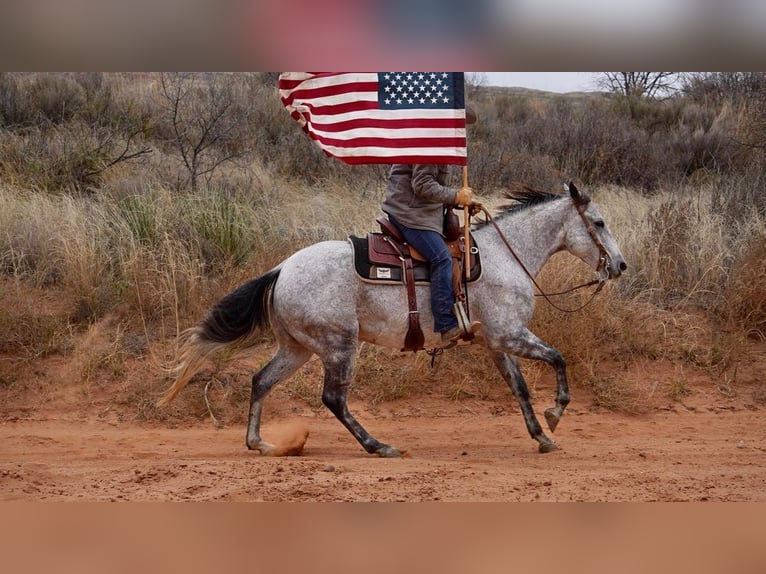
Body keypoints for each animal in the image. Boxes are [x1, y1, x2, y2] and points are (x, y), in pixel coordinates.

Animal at [158, 182, 632, 456]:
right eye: (598, 222)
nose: (620, 265)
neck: (504, 255)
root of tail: (282, 269)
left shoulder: (499, 343)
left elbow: (519, 389)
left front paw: (542, 436)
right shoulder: (511, 334)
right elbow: (558, 359)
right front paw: (556, 413)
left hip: (297, 349)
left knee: (261, 381)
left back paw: (260, 442)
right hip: (339, 345)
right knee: (334, 398)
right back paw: (377, 445)